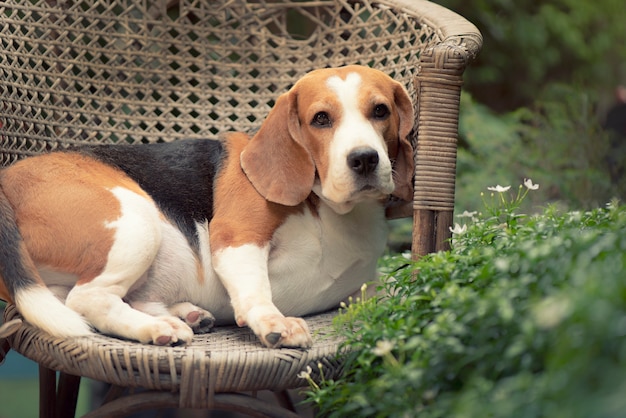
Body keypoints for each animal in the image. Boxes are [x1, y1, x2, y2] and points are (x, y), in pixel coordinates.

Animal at [0, 63, 414, 348]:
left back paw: (186, 314)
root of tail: (8, 177)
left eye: (380, 111)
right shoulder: (236, 238)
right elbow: (256, 291)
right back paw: (158, 327)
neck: (333, 212)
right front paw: (275, 322)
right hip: (136, 219)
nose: (364, 159)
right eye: (321, 119)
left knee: (72, 299)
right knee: (88, 298)